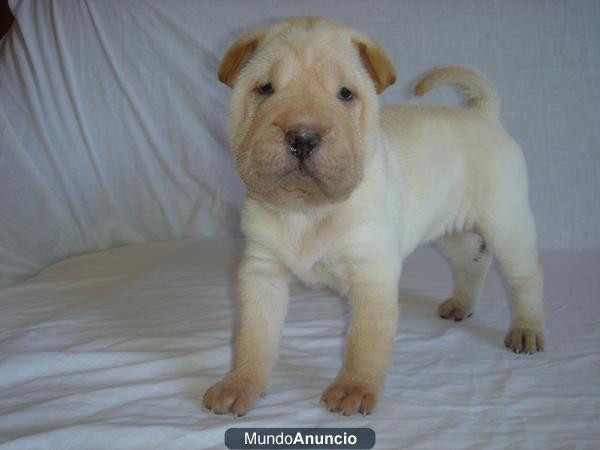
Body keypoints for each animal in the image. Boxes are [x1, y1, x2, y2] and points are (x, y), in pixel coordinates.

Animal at [203, 17, 544, 418]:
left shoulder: (371, 273)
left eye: (345, 94)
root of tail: (483, 114)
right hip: (449, 229)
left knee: (525, 277)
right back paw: (461, 304)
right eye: (265, 89)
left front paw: (353, 388)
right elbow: (253, 338)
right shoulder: (262, 272)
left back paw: (527, 330)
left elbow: (365, 340)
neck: (306, 210)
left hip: (507, 223)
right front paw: (239, 384)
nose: (302, 136)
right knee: (472, 260)